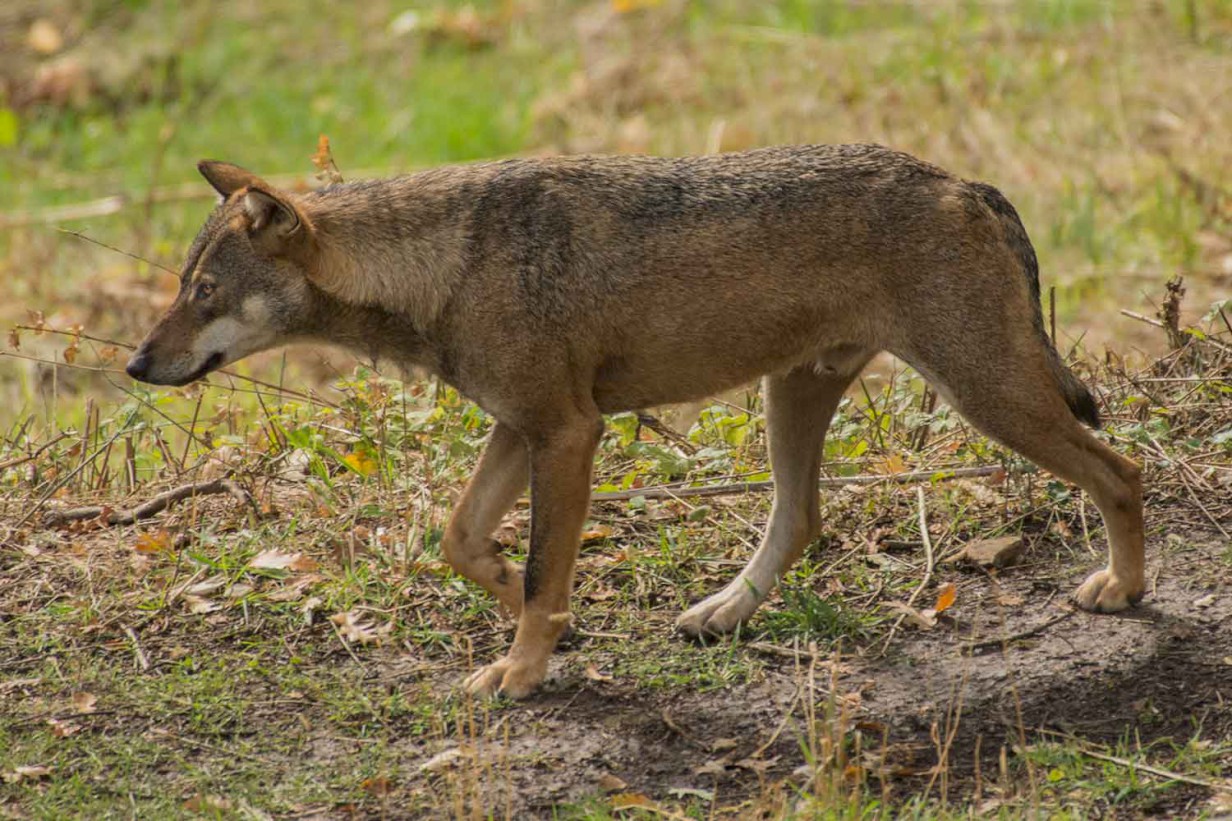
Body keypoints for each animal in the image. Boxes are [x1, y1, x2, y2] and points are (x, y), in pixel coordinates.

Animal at [125, 147, 1143, 695]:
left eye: (204, 293)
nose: (135, 364)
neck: (446, 264)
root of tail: (964, 180)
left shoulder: (568, 433)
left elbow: (543, 568)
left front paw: (523, 672)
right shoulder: (521, 427)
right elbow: (462, 541)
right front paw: (535, 619)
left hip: (987, 395)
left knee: (1123, 471)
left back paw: (1125, 589)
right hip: (794, 397)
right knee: (802, 518)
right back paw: (722, 612)